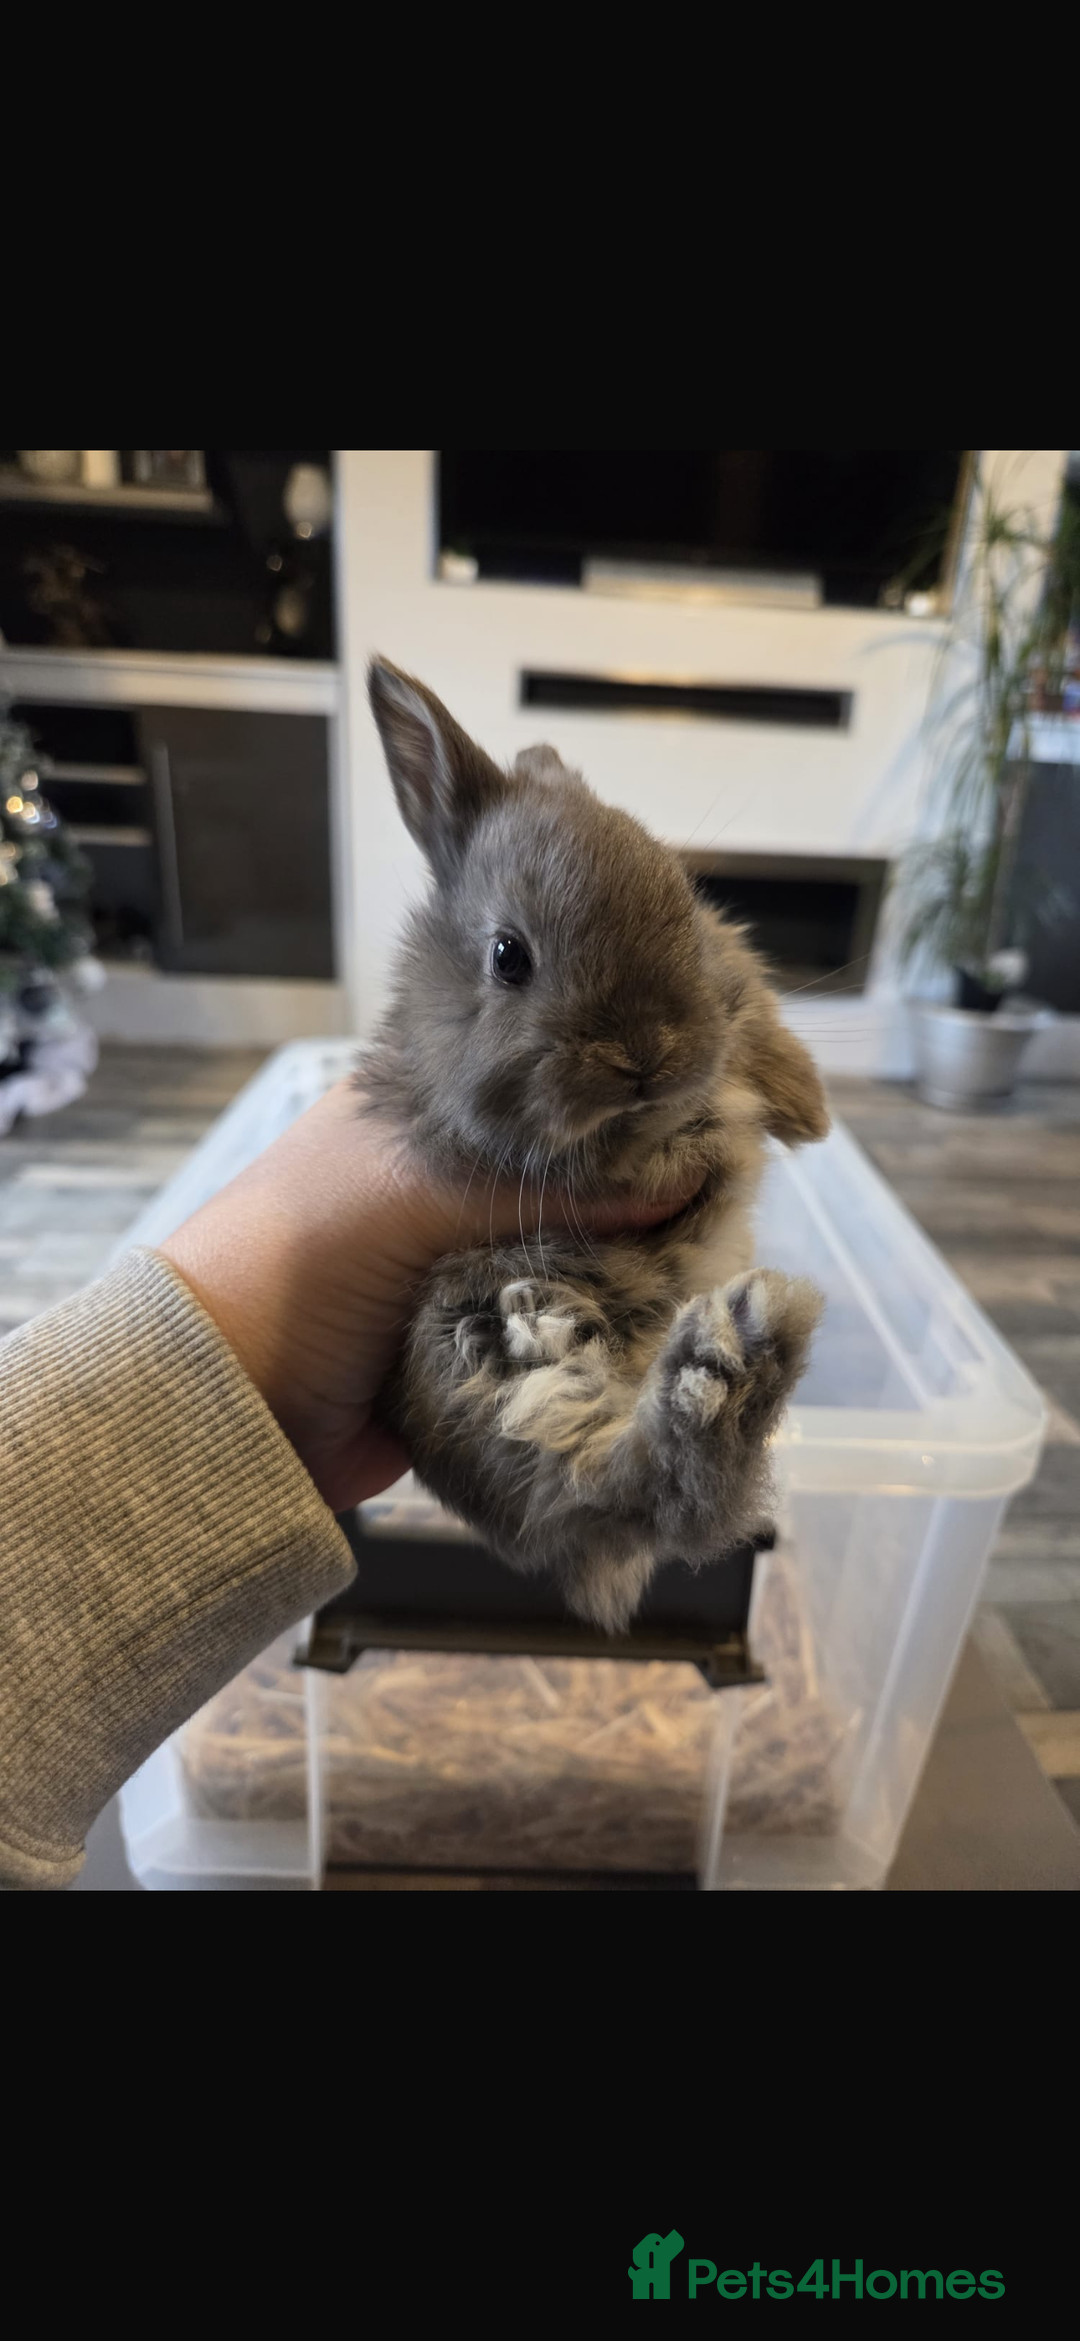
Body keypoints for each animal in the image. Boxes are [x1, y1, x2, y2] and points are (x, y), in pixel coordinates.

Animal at [359, 657, 829, 1633]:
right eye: (508, 955)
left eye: (681, 898)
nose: (647, 1054)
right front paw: (703, 1137)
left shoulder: (732, 980)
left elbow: (755, 1017)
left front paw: (806, 1108)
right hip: (481, 1357)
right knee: (633, 1487)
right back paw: (728, 1358)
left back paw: (738, 1349)